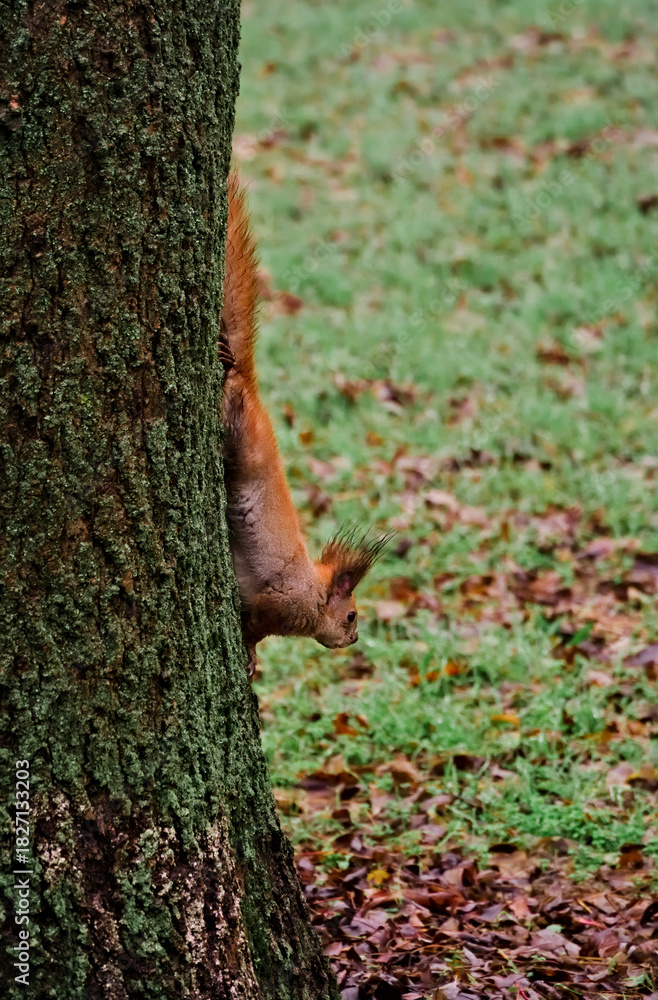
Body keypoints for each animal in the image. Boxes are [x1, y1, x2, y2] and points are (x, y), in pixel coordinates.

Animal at [219, 172, 388, 674]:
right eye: (351, 615)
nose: (353, 640)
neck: (313, 591)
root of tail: (251, 391)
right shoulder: (274, 603)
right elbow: (252, 624)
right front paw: (250, 654)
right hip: (241, 437)